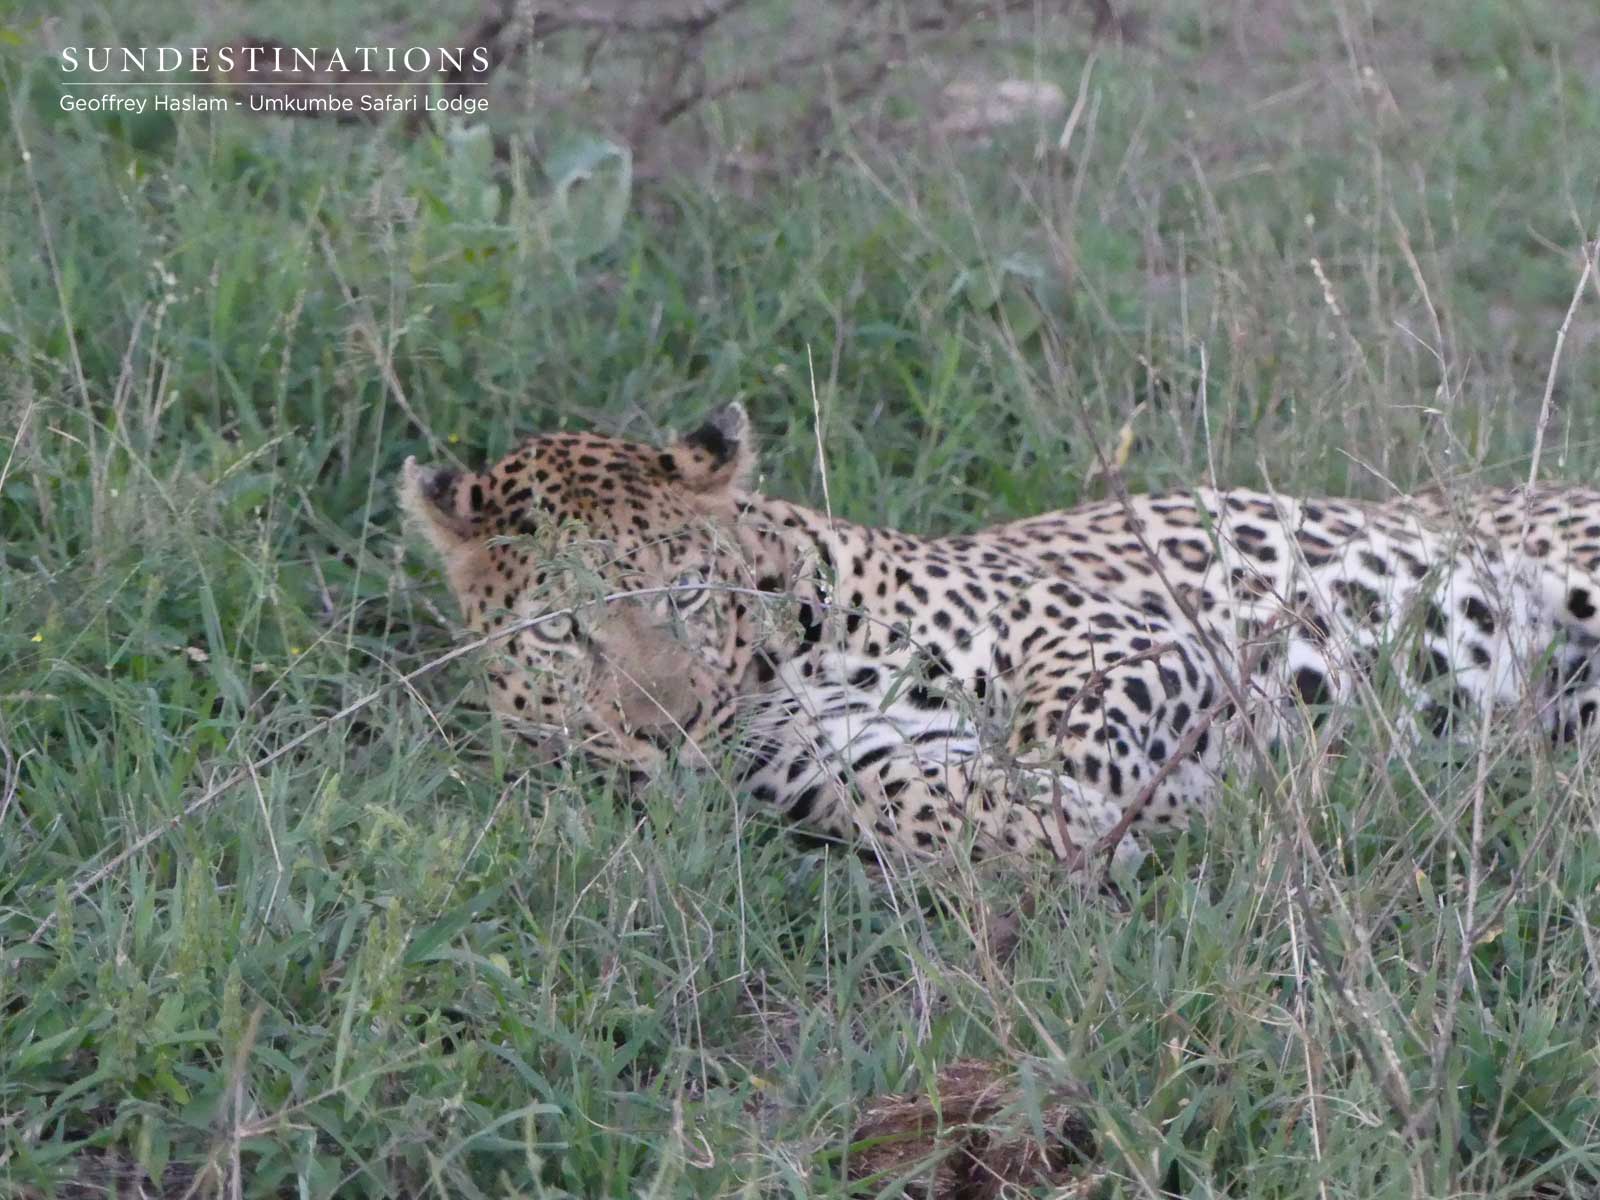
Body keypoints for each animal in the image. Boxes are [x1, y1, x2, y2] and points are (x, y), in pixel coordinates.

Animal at [400, 401, 1600, 868]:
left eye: (690, 596)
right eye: (563, 635)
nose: (670, 725)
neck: (782, 652)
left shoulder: (1116, 638)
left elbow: (1082, 740)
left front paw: (1161, 803)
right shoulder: (850, 771)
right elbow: (963, 814)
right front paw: (1090, 831)